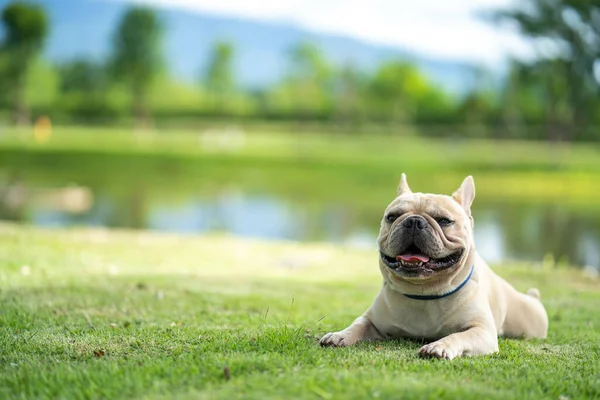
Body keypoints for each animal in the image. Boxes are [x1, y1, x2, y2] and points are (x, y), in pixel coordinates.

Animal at [322, 175, 552, 360]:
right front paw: (340, 335)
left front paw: (439, 346)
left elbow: (458, 336)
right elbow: (357, 325)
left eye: (444, 220)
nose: (413, 221)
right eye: (392, 217)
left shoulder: (482, 331)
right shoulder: (372, 320)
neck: (424, 293)